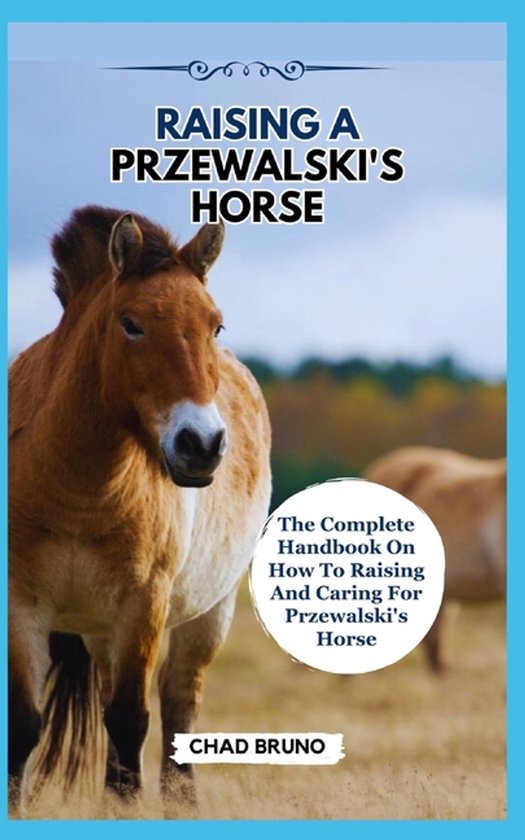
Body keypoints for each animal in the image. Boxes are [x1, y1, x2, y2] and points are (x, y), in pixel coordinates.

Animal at [8, 206, 272, 813]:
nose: (202, 444)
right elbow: (24, 727)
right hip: (103, 634)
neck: (80, 490)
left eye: (215, 326)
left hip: (207, 616)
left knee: (178, 713)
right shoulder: (21, 605)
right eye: (130, 324)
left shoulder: (143, 604)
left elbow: (132, 724)